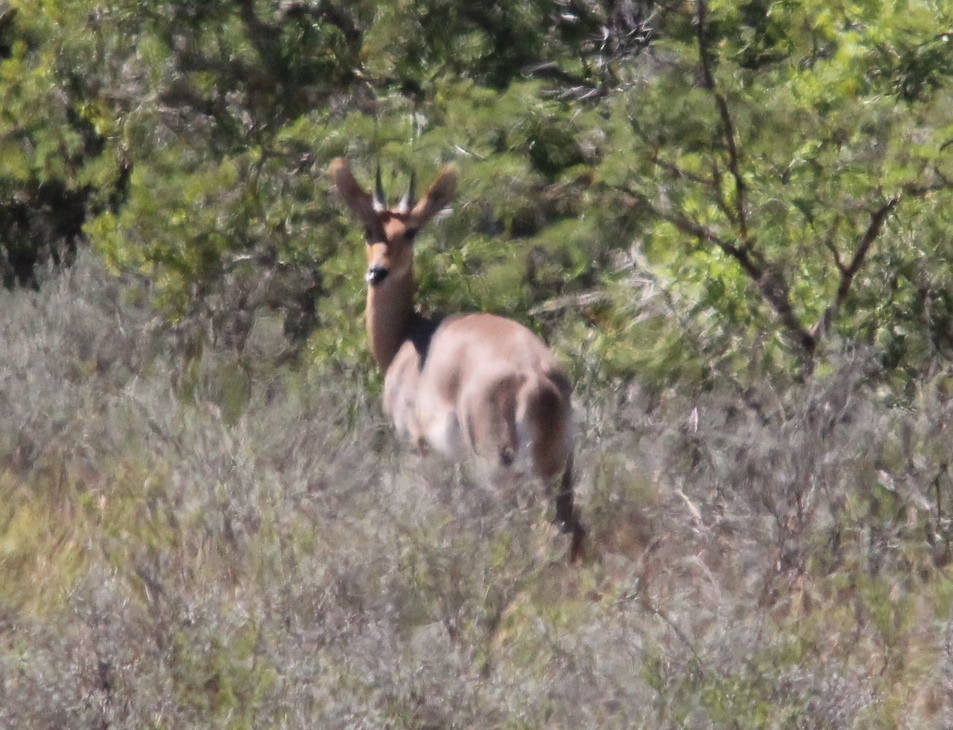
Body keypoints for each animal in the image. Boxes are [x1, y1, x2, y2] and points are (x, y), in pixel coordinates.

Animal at [330, 158, 584, 556]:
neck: (409, 338)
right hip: (560, 466)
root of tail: (536, 380)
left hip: (497, 468)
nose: (377, 272)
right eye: (369, 228)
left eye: (411, 232)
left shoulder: (418, 447)